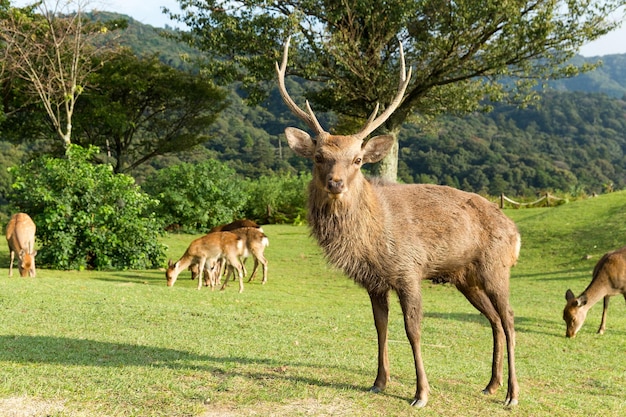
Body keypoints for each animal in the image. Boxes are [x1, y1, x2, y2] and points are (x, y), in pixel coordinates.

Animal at [276, 37, 520, 408]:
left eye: (358, 160)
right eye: (319, 157)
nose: (336, 183)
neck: (371, 241)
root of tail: (516, 232)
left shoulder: (409, 270)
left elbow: (412, 329)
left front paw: (421, 393)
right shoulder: (374, 282)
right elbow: (380, 326)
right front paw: (379, 381)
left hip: (496, 267)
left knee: (508, 320)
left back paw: (511, 394)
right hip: (466, 277)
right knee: (492, 320)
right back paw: (490, 385)